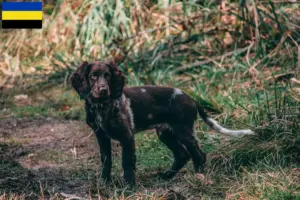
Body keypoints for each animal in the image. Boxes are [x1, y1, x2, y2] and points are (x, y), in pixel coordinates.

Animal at [69, 61, 253, 186]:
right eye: (93, 76)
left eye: (108, 76)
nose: (103, 90)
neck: (102, 106)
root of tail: (191, 99)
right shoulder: (101, 136)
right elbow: (106, 160)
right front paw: (104, 183)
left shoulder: (127, 135)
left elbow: (127, 162)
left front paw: (128, 187)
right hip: (165, 133)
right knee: (182, 154)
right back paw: (167, 175)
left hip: (183, 130)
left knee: (198, 154)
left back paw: (199, 176)